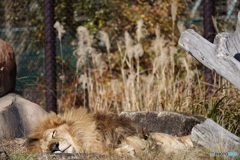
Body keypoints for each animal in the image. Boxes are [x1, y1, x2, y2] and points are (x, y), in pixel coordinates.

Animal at [27, 107, 193, 156]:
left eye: (53, 134)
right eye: (46, 150)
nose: (53, 147)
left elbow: (138, 142)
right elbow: (112, 152)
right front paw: (126, 151)